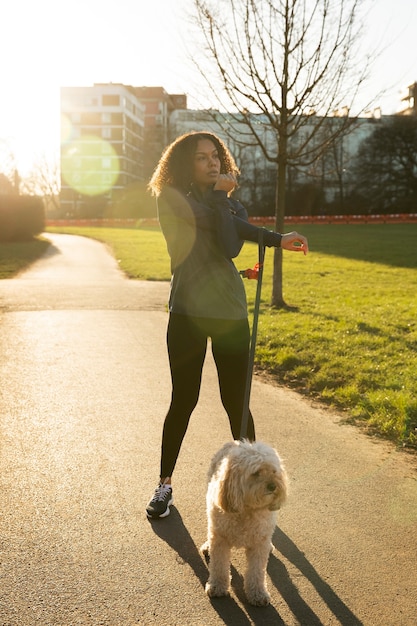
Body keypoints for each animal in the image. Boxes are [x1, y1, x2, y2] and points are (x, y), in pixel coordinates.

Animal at [201, 438, 286, 604]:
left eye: (274, 471)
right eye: (256, 473)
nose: (273, 486)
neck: (247, 510)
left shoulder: (259, 544)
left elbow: (257, 572)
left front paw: (258, 593)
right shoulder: (220, 540)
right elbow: (219, 566)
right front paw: (217, 586)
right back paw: (208, 546)